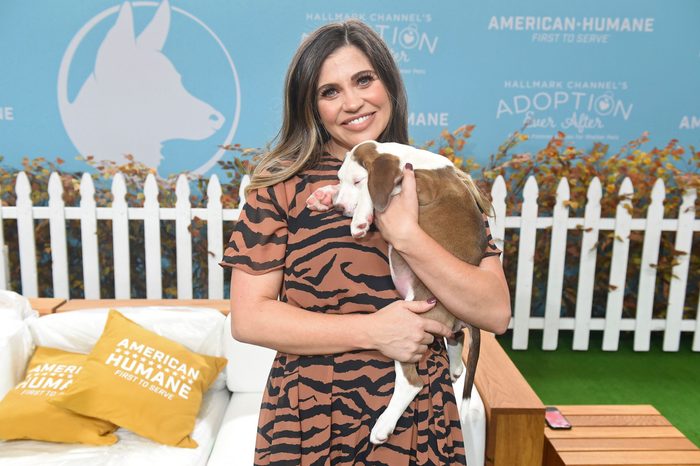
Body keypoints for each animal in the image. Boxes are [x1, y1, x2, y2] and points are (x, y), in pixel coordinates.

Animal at [304, 141, 490, 444]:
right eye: (341, 179)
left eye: (358, 180)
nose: (341, 207)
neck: (414, 160)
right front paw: (324, 194)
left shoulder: (419, 187)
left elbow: (375, 191)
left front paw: (361, 218)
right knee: (457, 336)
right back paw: (455, 367)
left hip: (411, 332)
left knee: (412, 383)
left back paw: (383, 426)